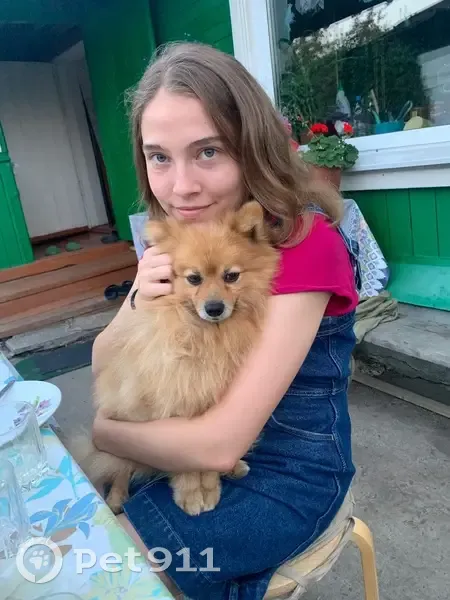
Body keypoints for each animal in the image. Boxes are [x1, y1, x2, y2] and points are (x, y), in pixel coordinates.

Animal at [70, 201, 279, 516]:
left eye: (231, 276)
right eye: (194, 279)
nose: (214, 308)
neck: (203, 335)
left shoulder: (208, 405)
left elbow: (206, 462)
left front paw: (211, 486)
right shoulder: (172, 406)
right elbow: (185, 466)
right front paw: (191, 495)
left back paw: (232, 467)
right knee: (120, 467)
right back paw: (117, 497)